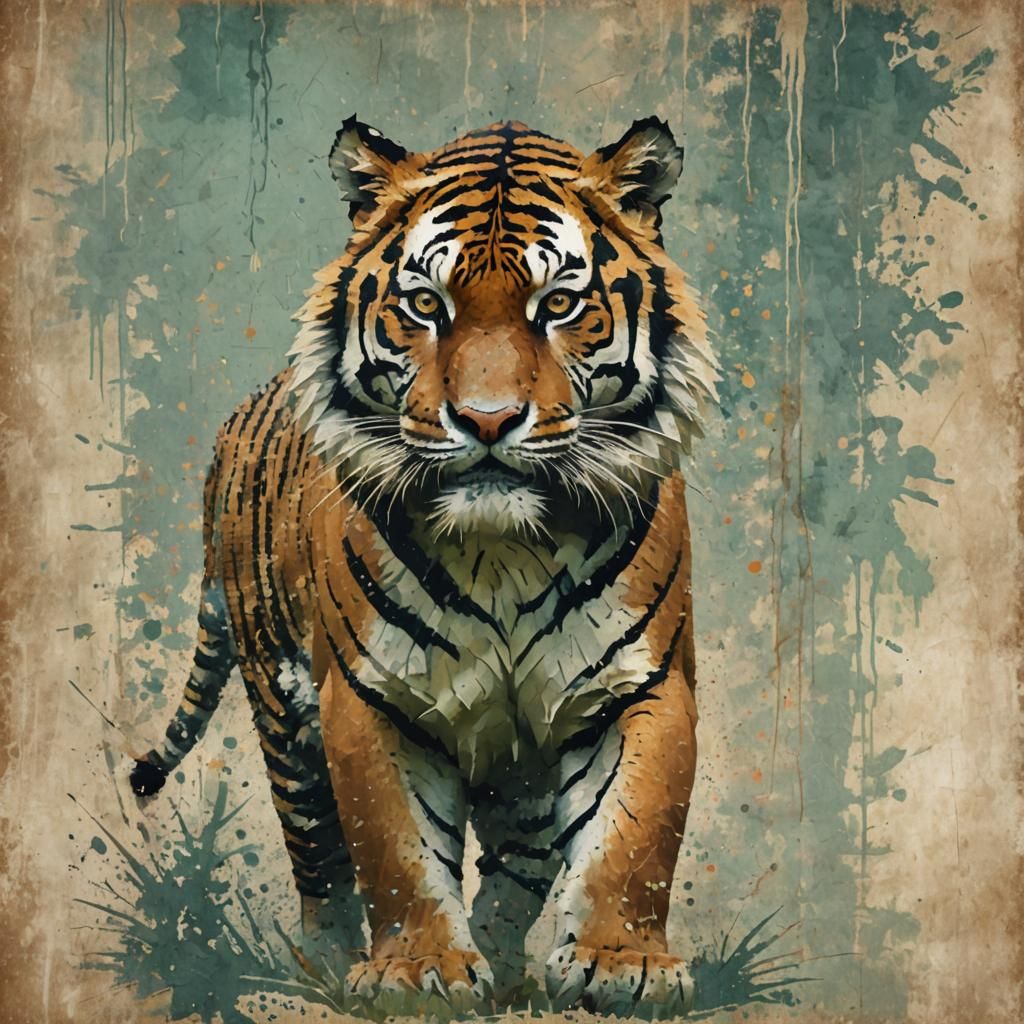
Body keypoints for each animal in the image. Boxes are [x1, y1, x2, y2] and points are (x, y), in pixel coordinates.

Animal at [130, 115, 718, 1015]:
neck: (505, 552)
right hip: (281, 708)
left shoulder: (639, 682)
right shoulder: (371, 696)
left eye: (559, 304)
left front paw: (623, 964)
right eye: (425, 305)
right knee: (316, 855)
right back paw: (324, 966)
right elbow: (394, 849)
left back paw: (507, 965)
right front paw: (419, 971)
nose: (487, 420)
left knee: (518, 863)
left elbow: (635, 831)